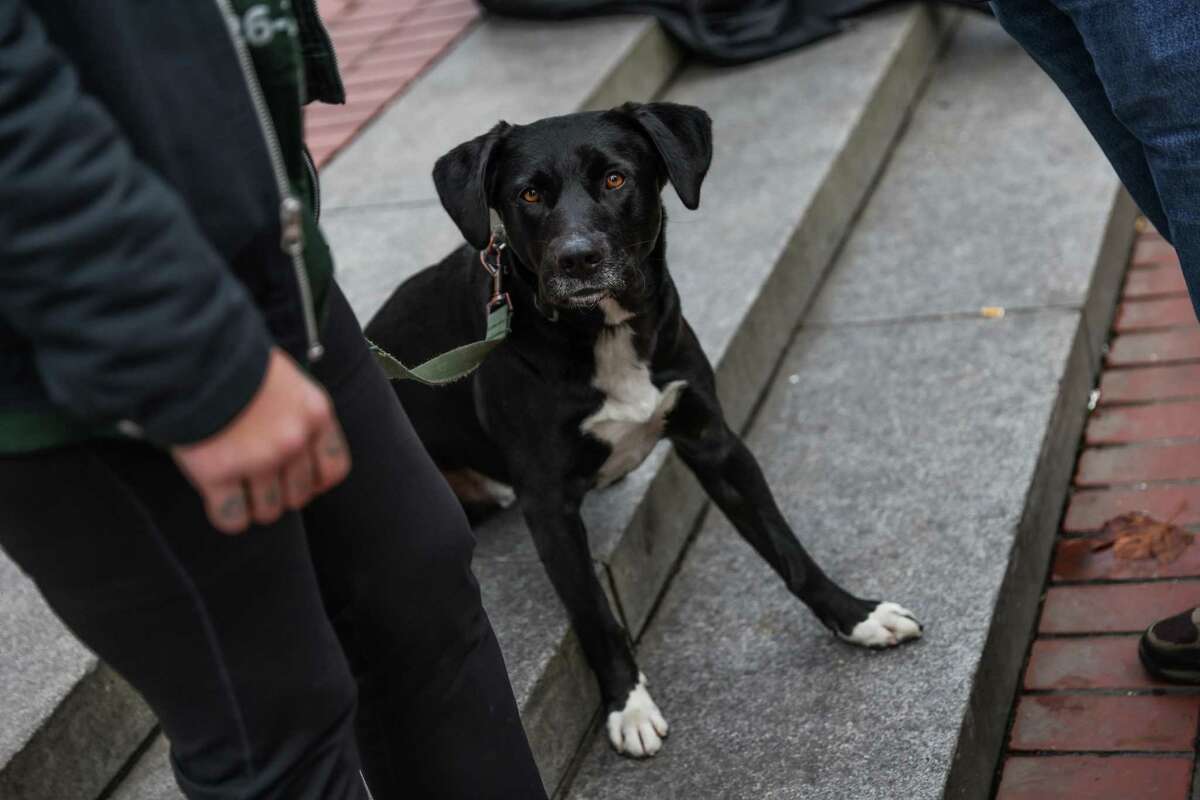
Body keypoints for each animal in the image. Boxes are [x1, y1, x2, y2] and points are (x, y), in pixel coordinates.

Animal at [362, 103, 916, 762]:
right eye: (529, 194)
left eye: (615, 179)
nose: (577, 259)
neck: (603, 333)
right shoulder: (548, 506)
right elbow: (594, 616)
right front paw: (628, 705)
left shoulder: (715, 444)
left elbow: (787, 548)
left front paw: (856, 616)